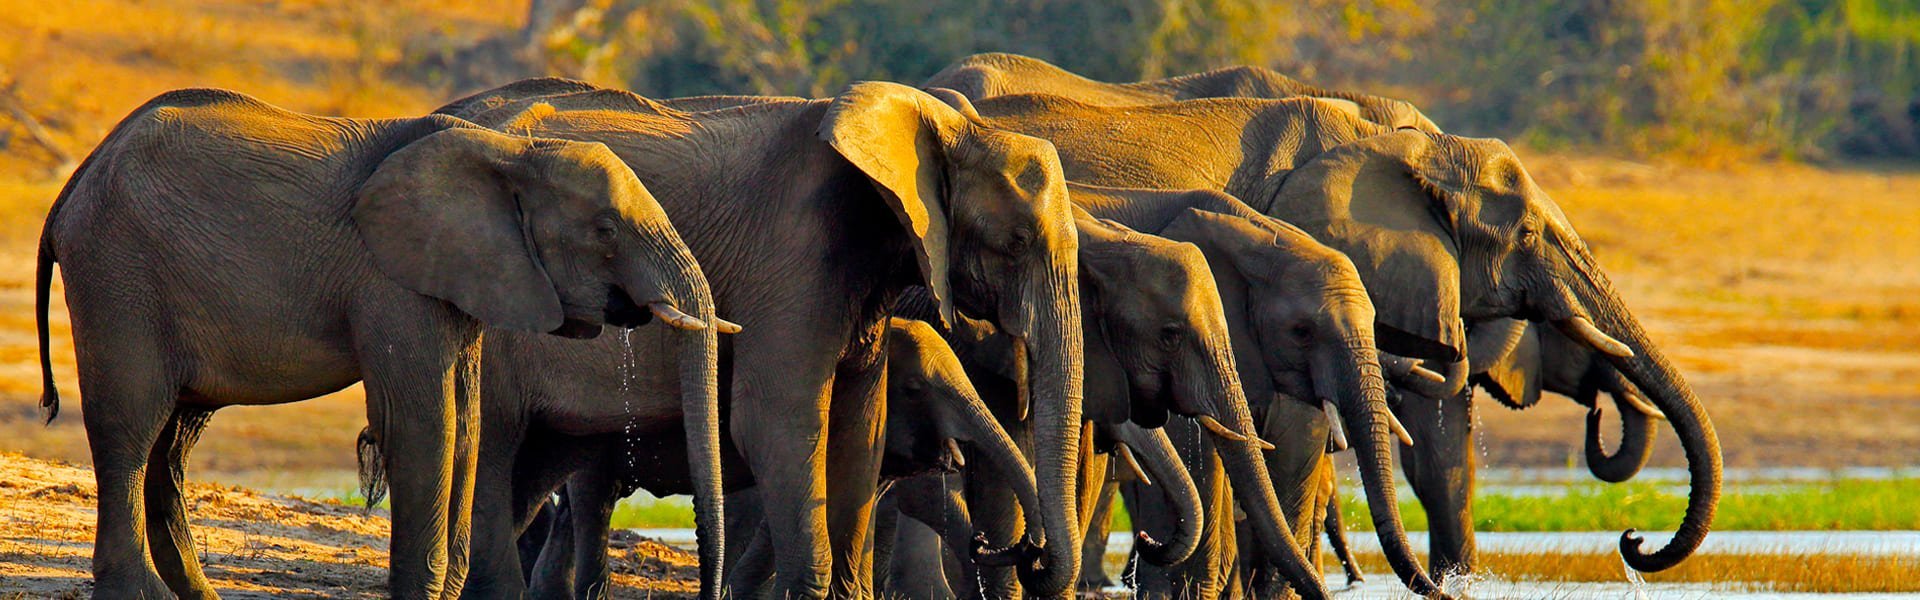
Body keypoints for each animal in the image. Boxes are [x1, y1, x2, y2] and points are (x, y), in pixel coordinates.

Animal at [35, 88, 725, 600]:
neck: (513, 154)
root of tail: (75, 181)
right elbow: (424, 423)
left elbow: (465, 424)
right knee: (130, 425)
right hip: (117, 274)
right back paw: (138, 593)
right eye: (605, 230)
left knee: (173, 440)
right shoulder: (392, 281)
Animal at [437, 78, 1098, 596]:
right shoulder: (792, 262)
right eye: (1017, 242)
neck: (946, 124)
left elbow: (860, 428)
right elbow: (778, 422)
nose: (1023, 550)